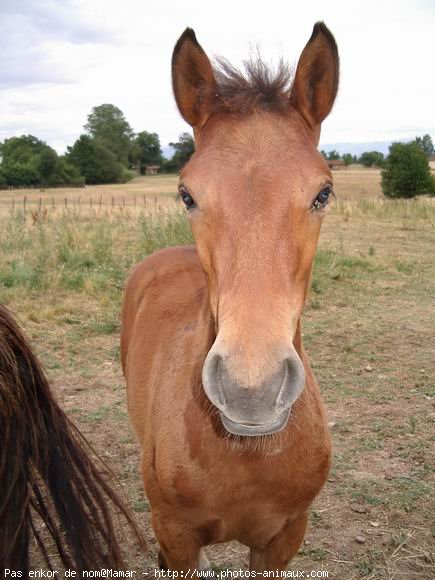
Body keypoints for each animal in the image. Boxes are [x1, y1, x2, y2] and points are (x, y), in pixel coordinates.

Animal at [122, 21, 340, 572]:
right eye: (187, 194)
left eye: (323, 193)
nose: (252, 390)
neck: (245, 455)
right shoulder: (177, 537)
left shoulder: (282, 539)